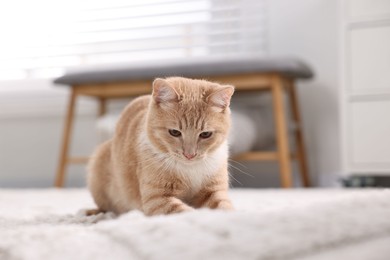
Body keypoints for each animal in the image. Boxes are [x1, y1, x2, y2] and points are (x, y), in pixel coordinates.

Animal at [87, 76, 235, 215]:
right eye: (174, 132)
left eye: (205, 134)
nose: (189, 155)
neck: (189, 169)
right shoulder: (157, 199)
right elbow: (185, 212)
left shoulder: (214, 191)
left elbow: (224, 206)